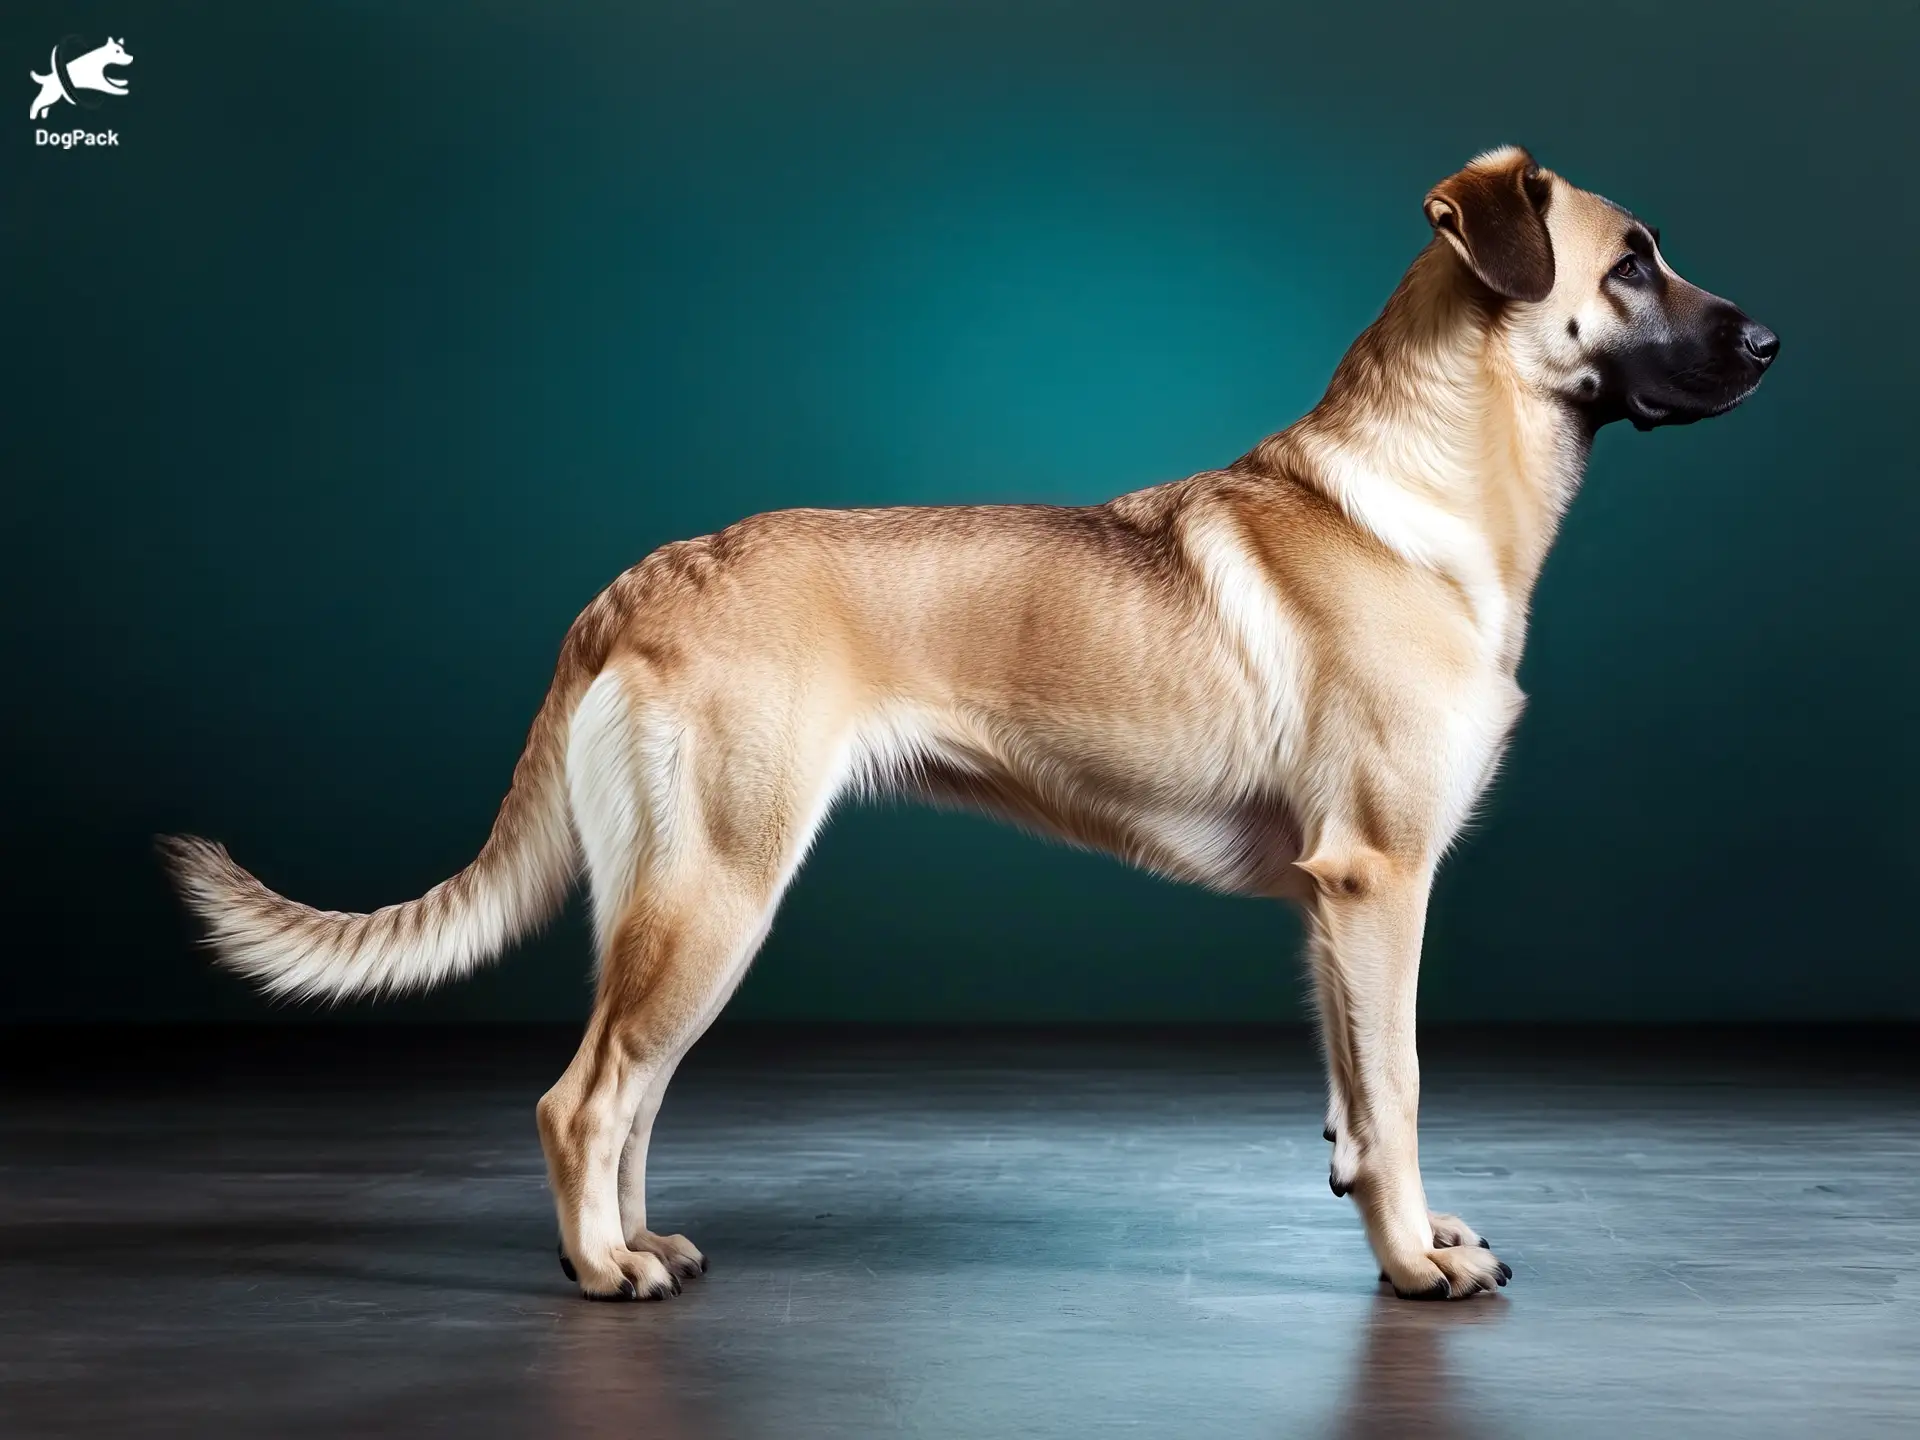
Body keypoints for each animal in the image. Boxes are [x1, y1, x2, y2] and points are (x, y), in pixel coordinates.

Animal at [157, 149, 1774, 1305]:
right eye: (1633, 263)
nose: (1768, 338)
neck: (1435, 482)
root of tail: (638, 583)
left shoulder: (1331, 907)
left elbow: (1355, 1098)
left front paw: (1411, 1230)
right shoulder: (1382, 883)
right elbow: (1403, 1086)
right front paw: (1412, 1265)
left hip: (677, 903)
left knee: (631, 1098)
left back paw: (631, 1244)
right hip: (716, 893)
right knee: (581, 1100)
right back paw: (604, 1272)